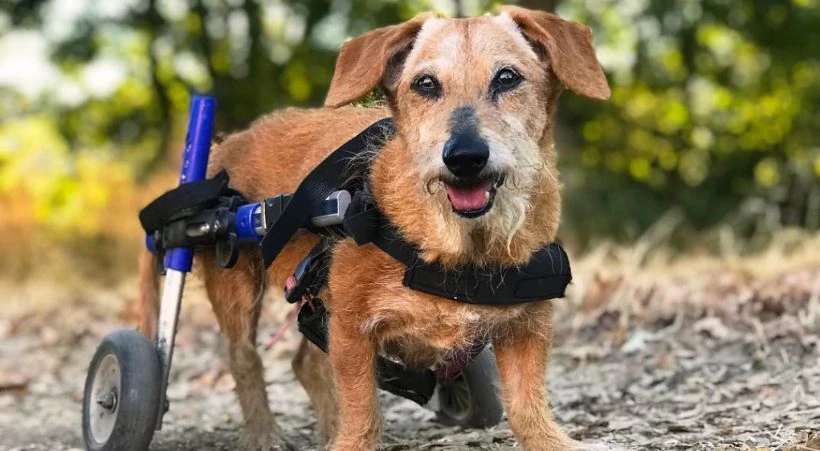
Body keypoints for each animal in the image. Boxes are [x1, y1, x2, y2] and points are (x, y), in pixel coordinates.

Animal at [136, 4, 608, 451]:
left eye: (507, 78)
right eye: (425, 84)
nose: (464, 157)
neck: (458, 243)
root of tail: (224, 147)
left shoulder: (527, 327)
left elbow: (528, 402)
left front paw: (552, 441)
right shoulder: (350, 328)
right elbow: (362, 406)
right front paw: (352, 442)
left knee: (304, 364)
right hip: (239, 288)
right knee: (244, 358)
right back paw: (263, 432)